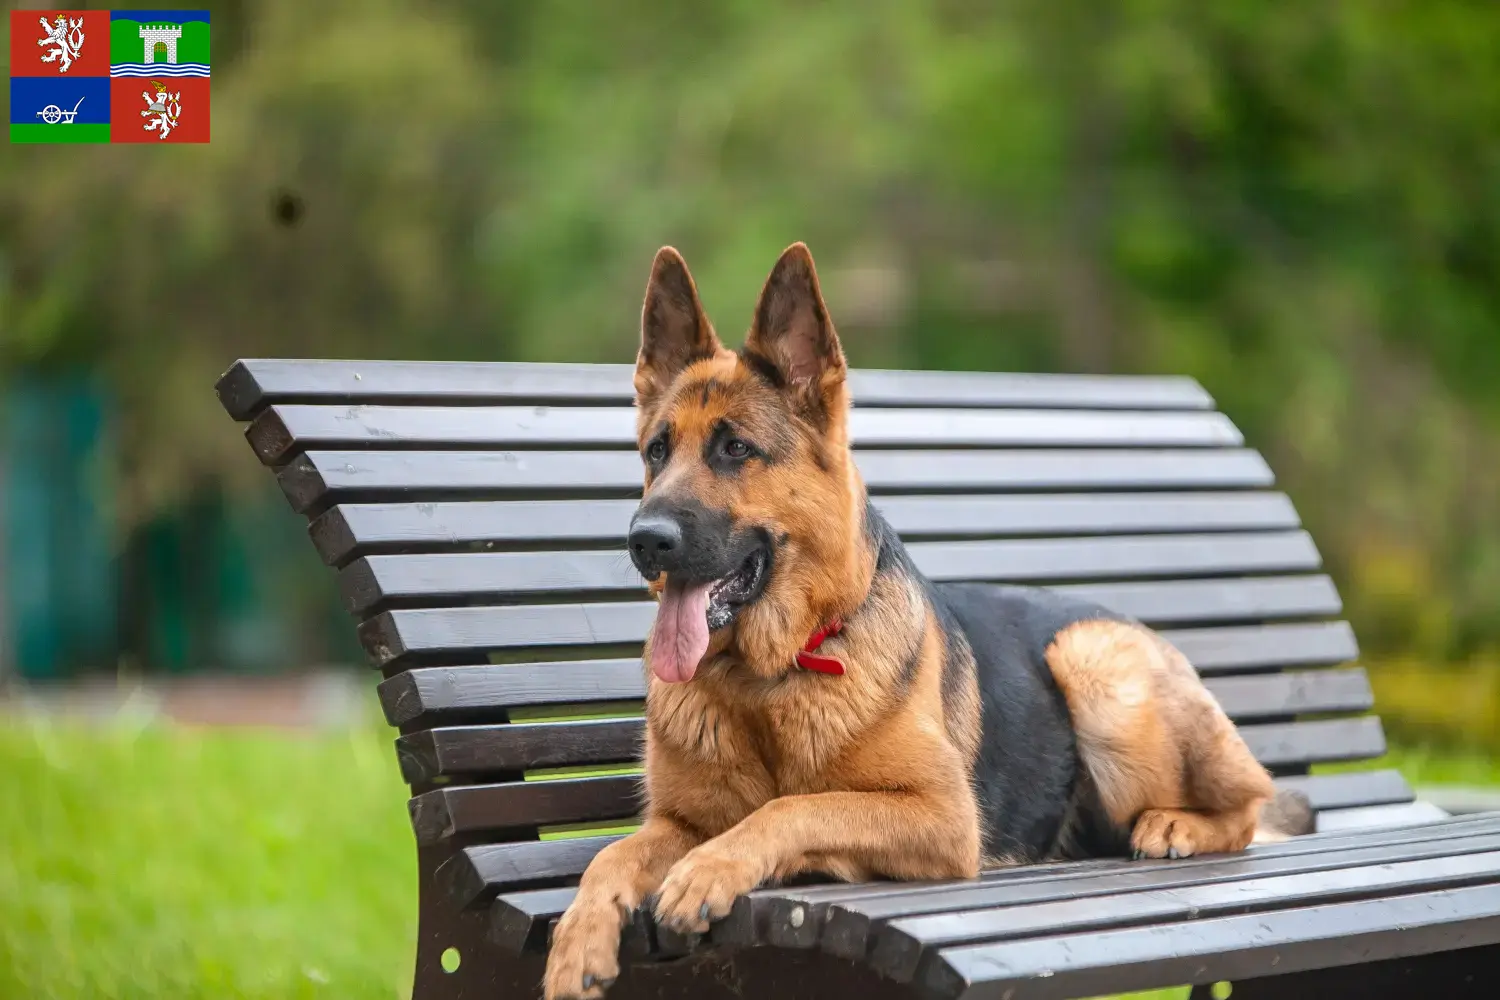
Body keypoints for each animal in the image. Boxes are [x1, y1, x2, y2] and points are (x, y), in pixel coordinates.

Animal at [543, 244, 1314, 1000]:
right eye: (656, 451)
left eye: (735, 449)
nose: (645, 540)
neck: (771, 676)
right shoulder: (674, 822)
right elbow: (611, 856)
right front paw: (577, 942)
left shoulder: (941, 819)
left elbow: (797, 807)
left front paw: (708, 869)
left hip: (1090, 661)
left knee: (1251, 804)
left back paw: (1176, 824)